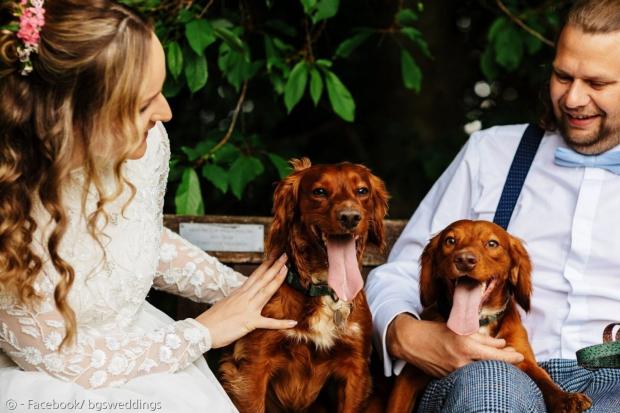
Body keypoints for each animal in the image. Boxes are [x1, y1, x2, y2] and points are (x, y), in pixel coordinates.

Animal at [220, 159, 388, 412]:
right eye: (319, 192)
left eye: (362, 191)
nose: (350, 217)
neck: (324, 289)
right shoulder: (253, 366)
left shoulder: (356, 369)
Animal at [388, 220, 592, 410]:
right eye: (450, 241)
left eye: (492, 243)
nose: (464, 259)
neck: (479, 321)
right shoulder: (409, 375)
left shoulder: (522, 358)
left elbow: (545, 381)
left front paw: (566, 399)